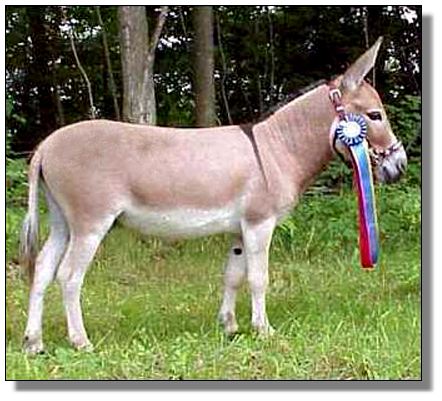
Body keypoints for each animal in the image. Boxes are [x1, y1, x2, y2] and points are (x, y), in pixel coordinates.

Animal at [20, 37, 407, 353]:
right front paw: (264, 330)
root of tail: (47, 145)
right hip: (91, 222)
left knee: (42, 269)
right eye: (375, 116)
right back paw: (80, 341)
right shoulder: (259, 223)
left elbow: (233, 275)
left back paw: (34, 343)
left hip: (62, 221)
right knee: (69, 275)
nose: (400, 165)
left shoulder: (240, 228)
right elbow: (259, 277)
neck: (277, 148)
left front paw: (230, 327)